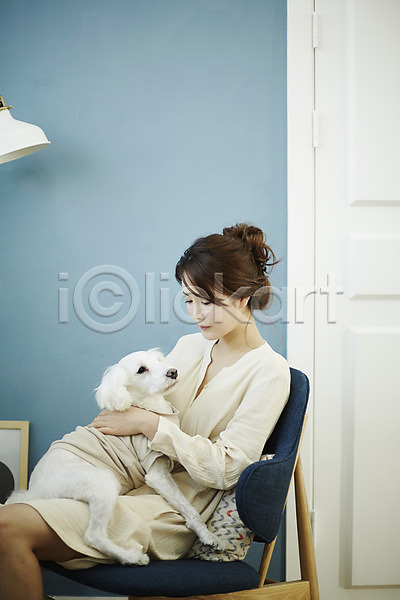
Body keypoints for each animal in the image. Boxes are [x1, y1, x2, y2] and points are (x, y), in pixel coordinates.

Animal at [6, 349, 224, 565]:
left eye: (158, 360)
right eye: (141, 369)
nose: (173, 372)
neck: (149, 406)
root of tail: (33, 492)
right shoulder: (156, 470)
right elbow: (187, 506)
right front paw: (207, 535)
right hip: (102, 480)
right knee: (93, 537)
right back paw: (131, 557)